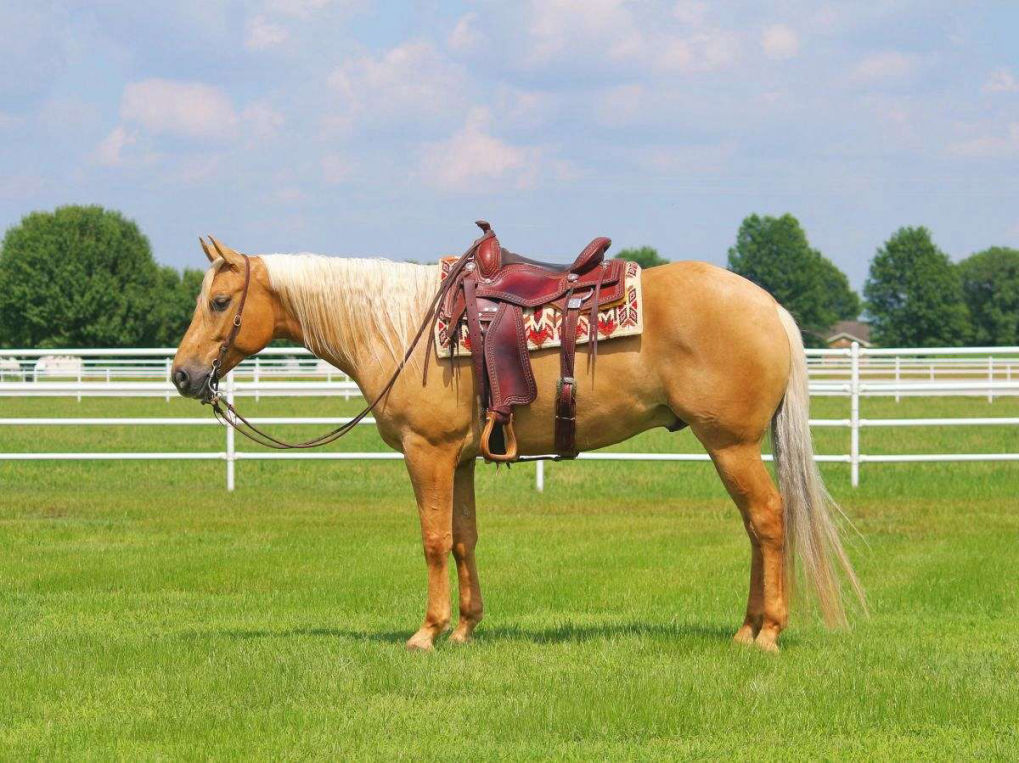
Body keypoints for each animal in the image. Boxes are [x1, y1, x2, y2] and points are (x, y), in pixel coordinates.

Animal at [172, 236, 864, 652]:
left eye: (220, 301)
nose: (182, 375)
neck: (402, 329)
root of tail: (769, 306)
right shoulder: (458, 459)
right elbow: (462, 539)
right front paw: (465, 629)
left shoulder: (426, 453)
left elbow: (432, 540)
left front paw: (426, 633)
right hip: (732, 448)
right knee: (755, 527)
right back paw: (745, 630)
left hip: (731, 445)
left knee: (768, 521)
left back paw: (768, 633)